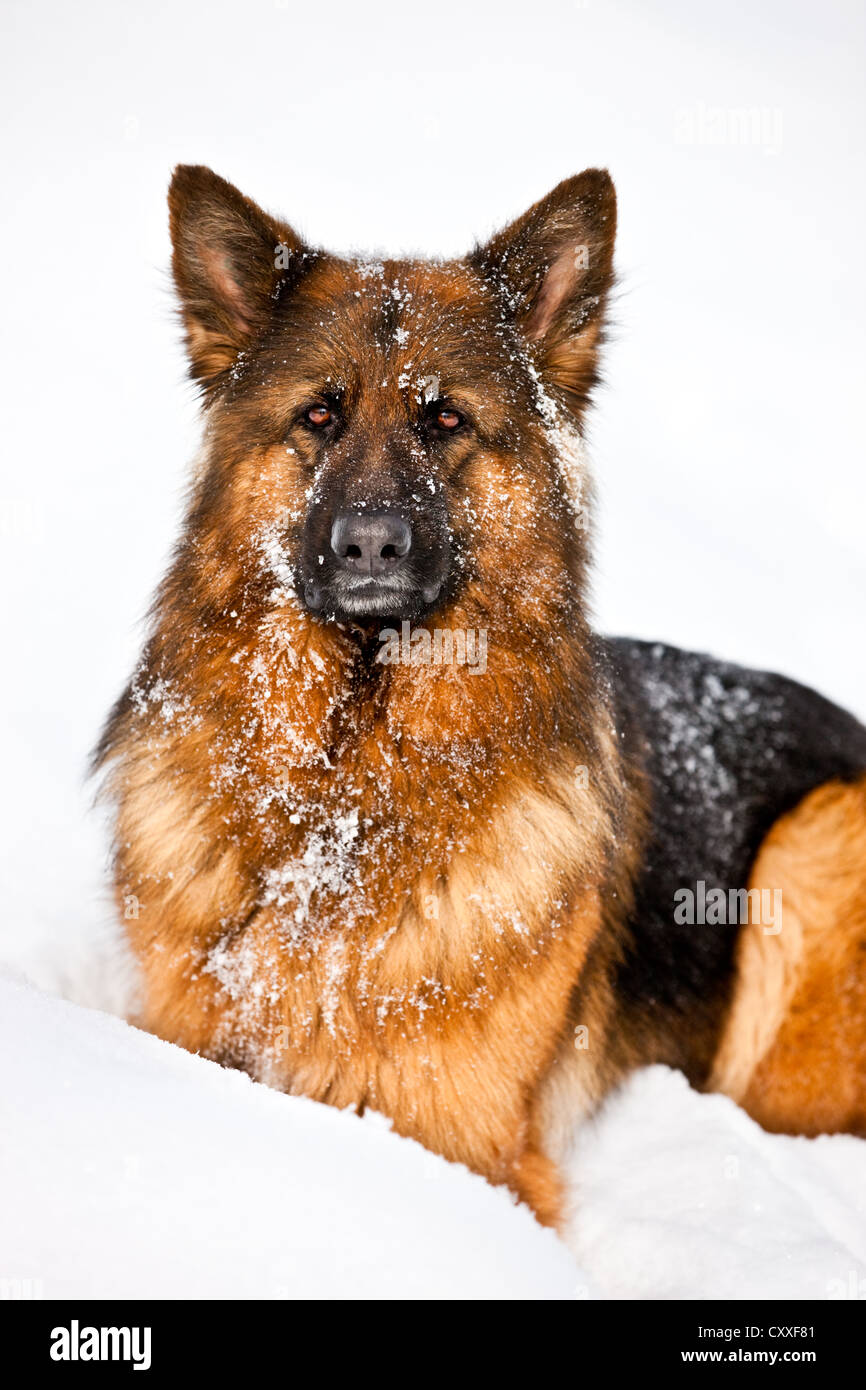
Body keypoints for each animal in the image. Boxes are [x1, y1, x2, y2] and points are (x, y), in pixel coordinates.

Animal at [97, 165, 866, 1228]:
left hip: (813, 845)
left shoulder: (464, 1144)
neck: (343, 796)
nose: (369, 545)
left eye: (446, 421)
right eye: (319, 416)